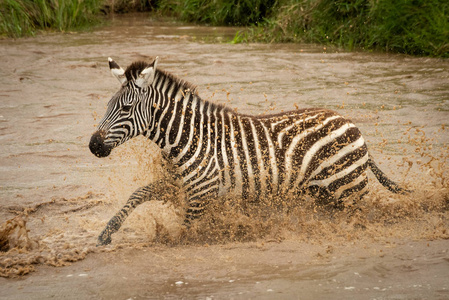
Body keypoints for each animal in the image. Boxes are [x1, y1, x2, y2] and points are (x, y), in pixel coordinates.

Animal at [88, 56, 410, 246]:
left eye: (126, 108)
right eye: (108, 106)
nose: (94, 145)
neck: (187, 138)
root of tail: (350, 122)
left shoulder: (200, 195)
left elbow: (185, 232)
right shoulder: (177, 184)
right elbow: (137, 194)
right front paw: (106, 232)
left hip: (347, 189)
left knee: (363, 216)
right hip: (324, 192)